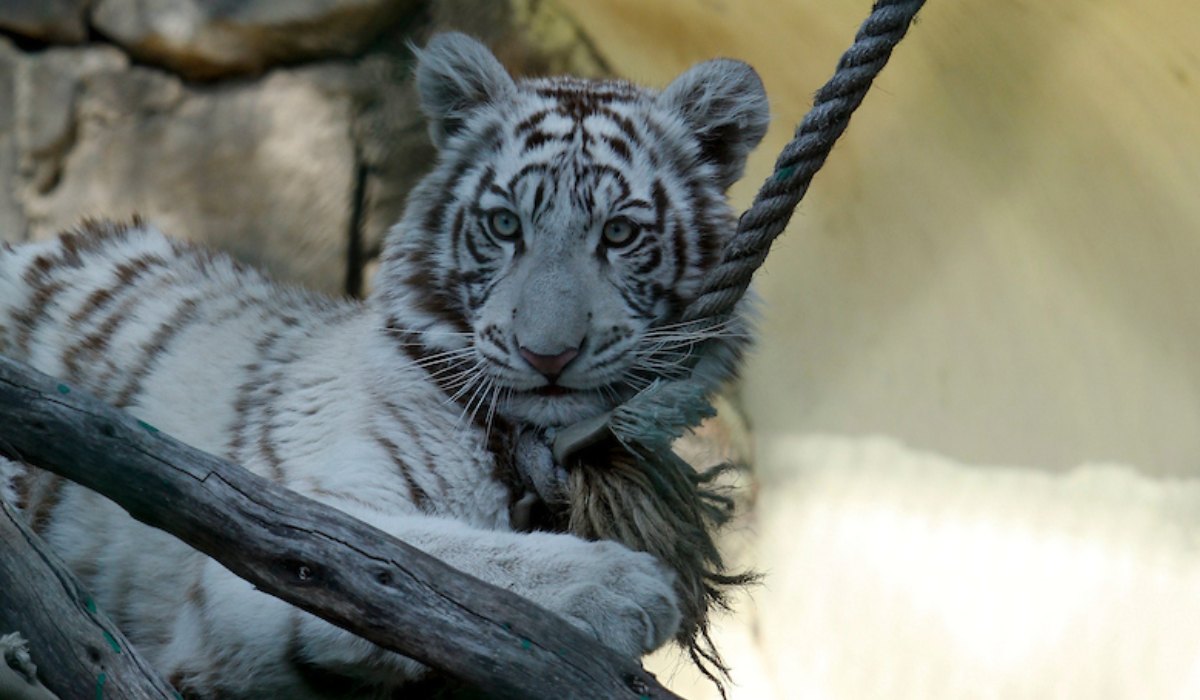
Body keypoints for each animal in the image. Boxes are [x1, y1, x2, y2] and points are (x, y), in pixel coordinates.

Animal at [0, 32, 769, 697]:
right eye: (505, 225)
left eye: (619, 232)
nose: (546, 354)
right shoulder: (263, 547)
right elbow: (418, 564)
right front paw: (628, 589)